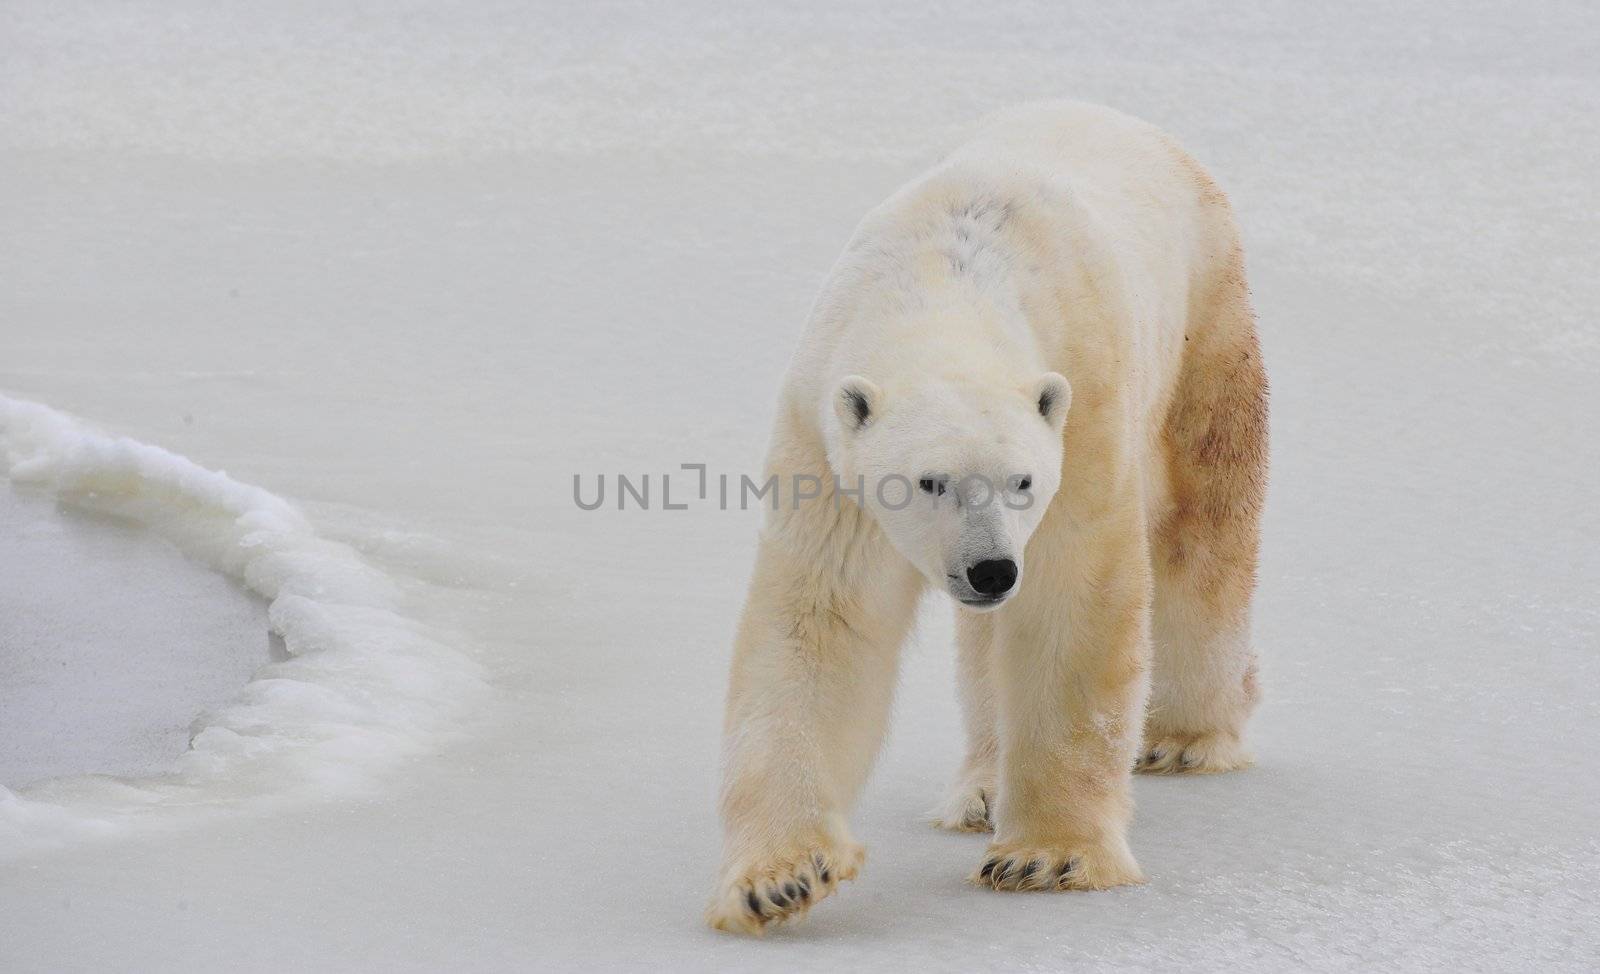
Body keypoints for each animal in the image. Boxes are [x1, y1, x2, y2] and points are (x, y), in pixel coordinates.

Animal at [707, 100, 1267, 934]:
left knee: (1203, 529)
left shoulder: (1083, 407)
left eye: (1022, 481)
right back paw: (980, 789)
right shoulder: (825, 444)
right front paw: (780, 877)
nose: (992, 568)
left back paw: (1185, 737)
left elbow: (1073, 603)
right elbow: (822, 621)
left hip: (1205, 320)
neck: (948, 280)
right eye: (928, 481)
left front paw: (1048, 856)